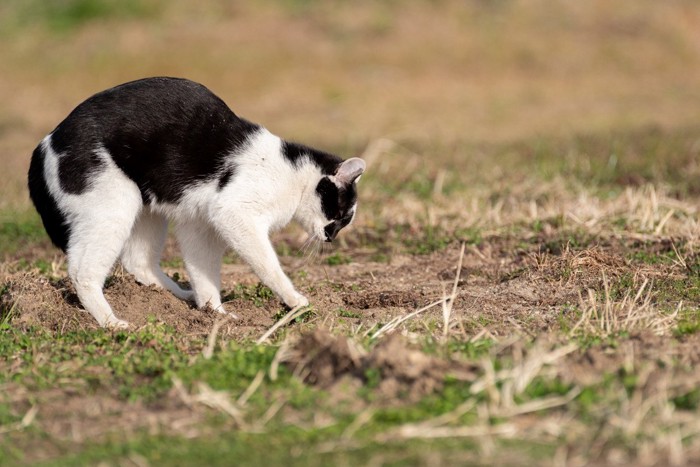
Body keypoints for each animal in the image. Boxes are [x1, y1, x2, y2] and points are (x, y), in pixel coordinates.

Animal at [27, 77, 366, 330]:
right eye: (339, 216)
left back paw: (175, 295)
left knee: (139, 263)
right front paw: (294, 300)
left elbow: (204, 272)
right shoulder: (234, 214)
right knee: (82, 271)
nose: (331, 237)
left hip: (145, 209)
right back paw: (111, 322)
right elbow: (268, 266)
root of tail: (46, 141)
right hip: (113, 207)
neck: (294, 176)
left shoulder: (199, 224)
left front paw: (215, 313)